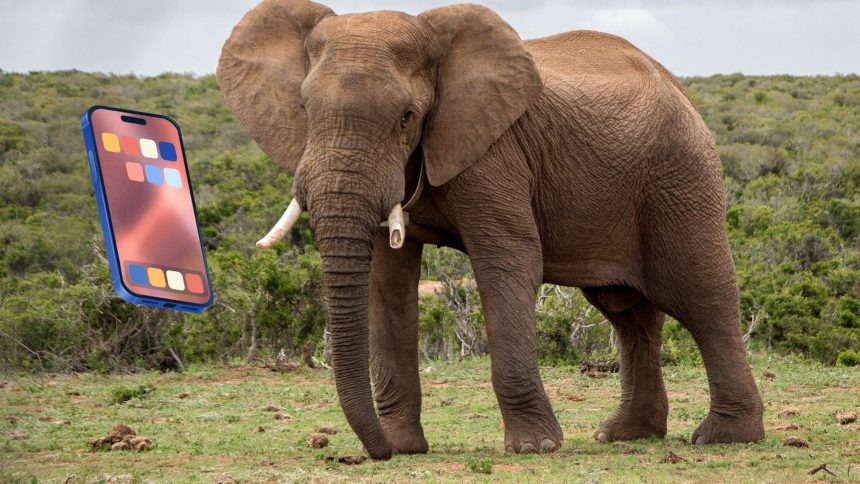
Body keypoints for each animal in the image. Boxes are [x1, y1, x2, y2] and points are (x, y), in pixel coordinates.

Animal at [216, 0, 765, 459]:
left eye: (407, 117)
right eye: (304, 110)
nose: (377, 454)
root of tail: (679, 87)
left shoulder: (495, 153)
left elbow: (509, 261)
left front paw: (534, 448)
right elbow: (386, 282)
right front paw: (404, 446)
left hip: (680, 175)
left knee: (701, 296)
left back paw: (725, 438)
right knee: (626, 312)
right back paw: (625, 435)